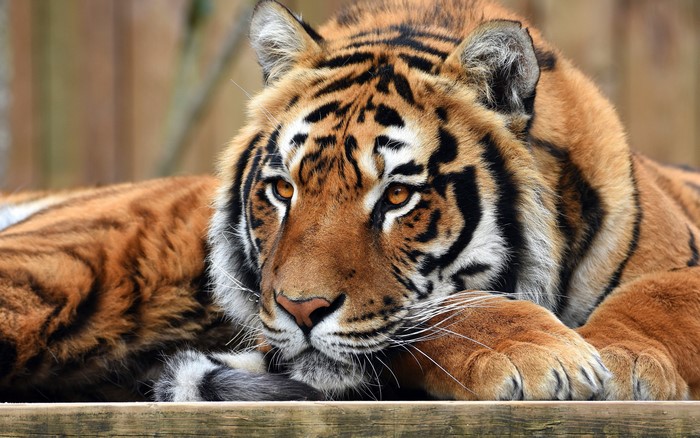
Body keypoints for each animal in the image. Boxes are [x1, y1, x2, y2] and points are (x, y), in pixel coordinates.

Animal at [3, 0, 700, 402]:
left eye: (397, 196)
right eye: (284, 189)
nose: (301, 310)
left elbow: (666, 294)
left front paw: (624, 361)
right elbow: (447, 312)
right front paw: (542, 357)